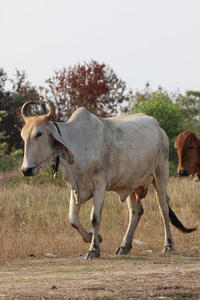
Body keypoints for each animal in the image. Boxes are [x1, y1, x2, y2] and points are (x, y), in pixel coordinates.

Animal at [21, 99, 196, 258]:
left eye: (39, 134)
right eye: (23, 135)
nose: (26, 170)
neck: (78, 141)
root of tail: (160, 129)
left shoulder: (99, 184)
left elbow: (94, 218)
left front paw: (93, 250)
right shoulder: (76, 187)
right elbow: (73, 219)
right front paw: (93, 237)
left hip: (160, 175)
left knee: (163, 208)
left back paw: (168, 245)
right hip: (131, 183)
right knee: (136, 211)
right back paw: (124, 246)